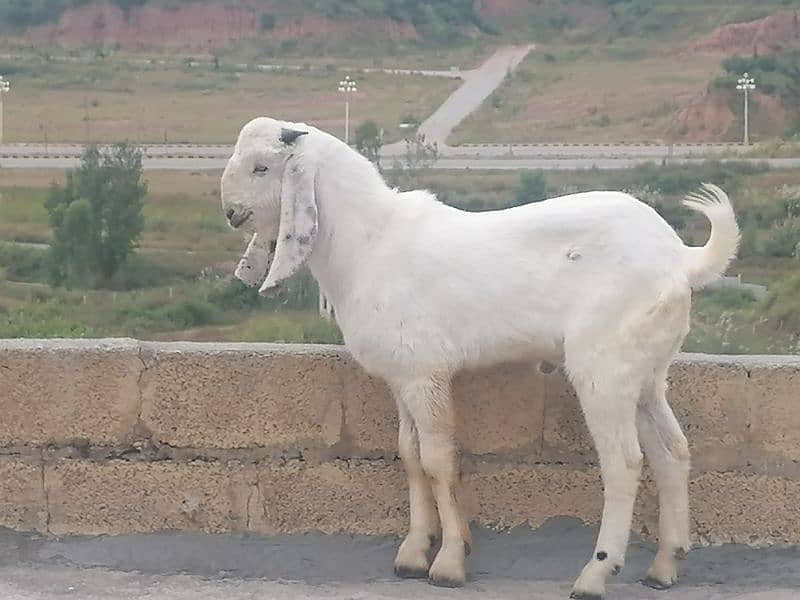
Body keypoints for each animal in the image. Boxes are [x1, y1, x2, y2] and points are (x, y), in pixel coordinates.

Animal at [219, 115, 736, 596]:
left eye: (261, 167)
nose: (231, 213)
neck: (370, 244)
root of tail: (680, 258)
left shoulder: (425, 374)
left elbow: (438, 460)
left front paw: (448, 562)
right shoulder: (402, 377)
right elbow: (410, 455)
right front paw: (413, 552)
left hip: (604, 368)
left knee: (624, 463)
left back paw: (595, 574)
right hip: (647, 370)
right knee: (671, 450)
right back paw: (665, 565)